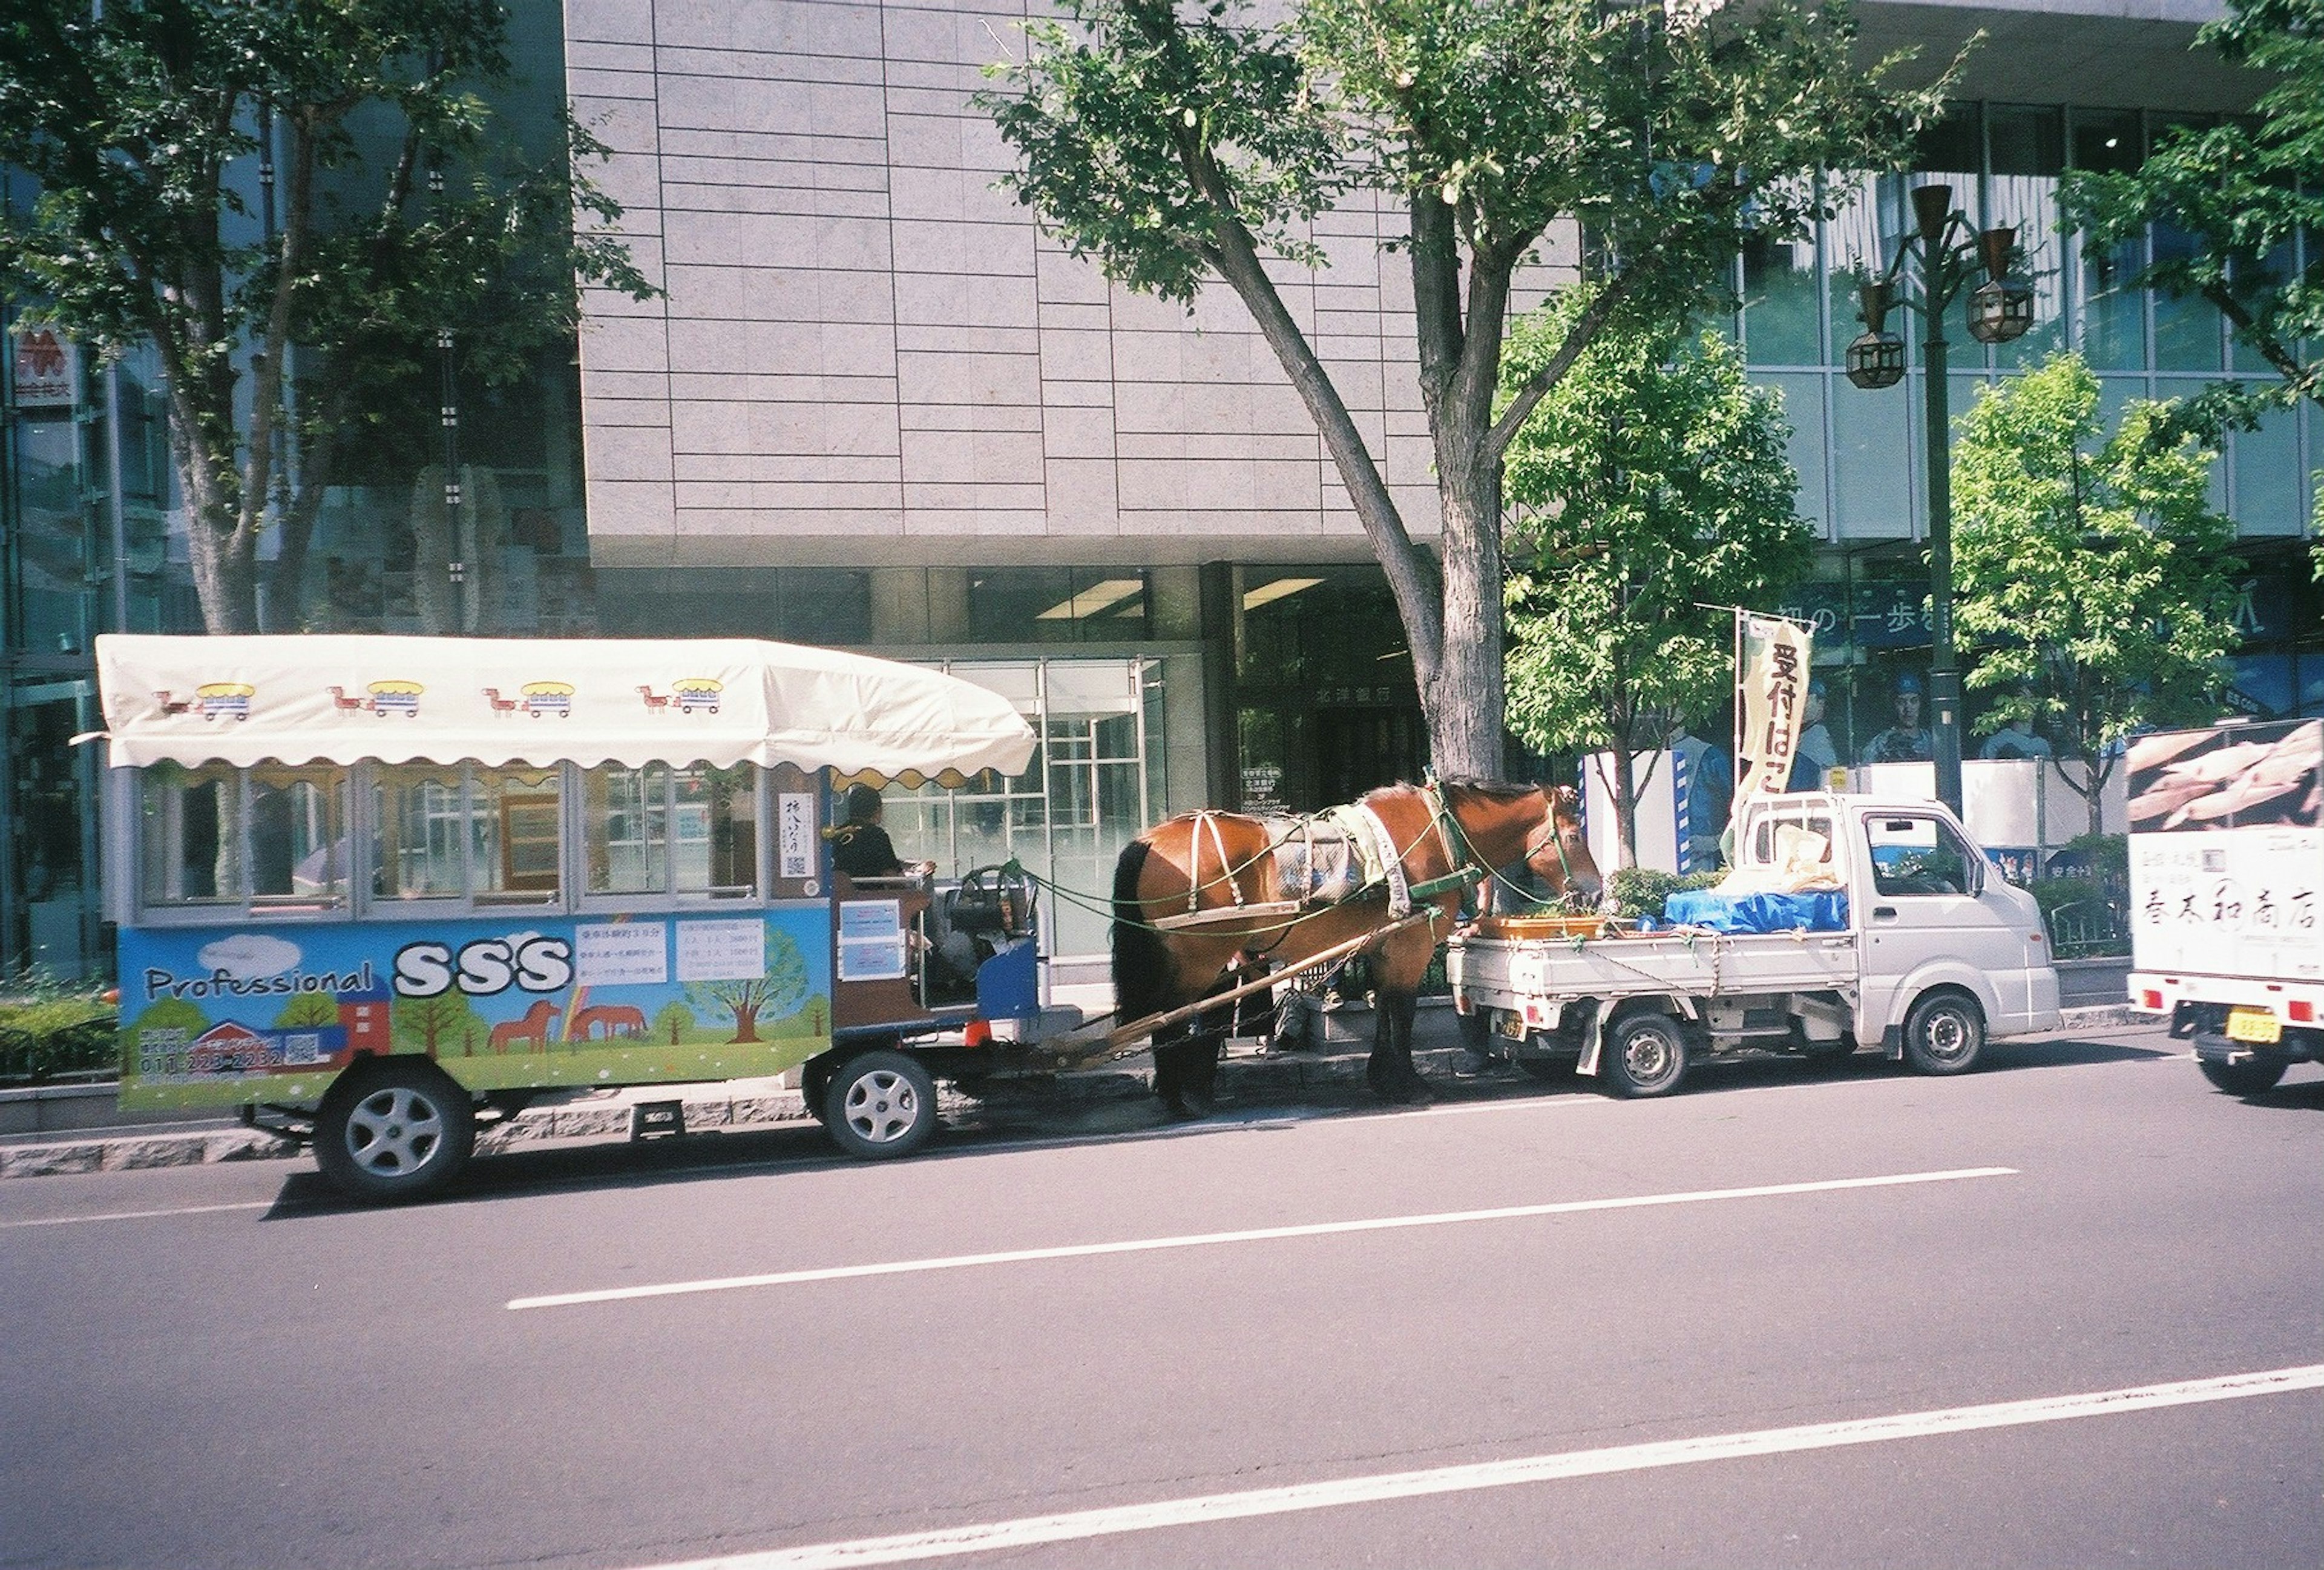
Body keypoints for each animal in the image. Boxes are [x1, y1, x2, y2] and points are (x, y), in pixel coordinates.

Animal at [1106, 780, 1598, 1110]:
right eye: (1575, 836)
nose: (1595, 892)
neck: (1441, 833)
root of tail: (1149, 839)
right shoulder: (1410, 946)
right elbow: (1401, 1013)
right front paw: (1408, 1083)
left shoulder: (1384, 947)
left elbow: (1384, 1010)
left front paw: (1383, 1078)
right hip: (1197, 959)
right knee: (1170, 1017)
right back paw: (1177, 1097)